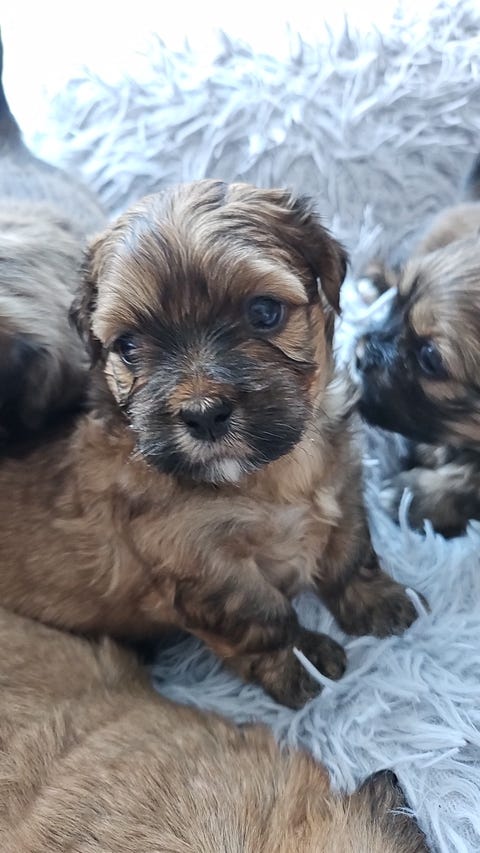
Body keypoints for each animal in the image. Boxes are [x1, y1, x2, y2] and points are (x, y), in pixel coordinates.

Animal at [0, 175, 423, 708]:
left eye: (264, 312)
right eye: (128, 346)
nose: (203, 415)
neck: (273, 474)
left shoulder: (343, 481)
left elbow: (351, 550)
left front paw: (377, 601)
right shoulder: (206, 568)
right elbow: (261, 617)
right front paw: (297, 663)